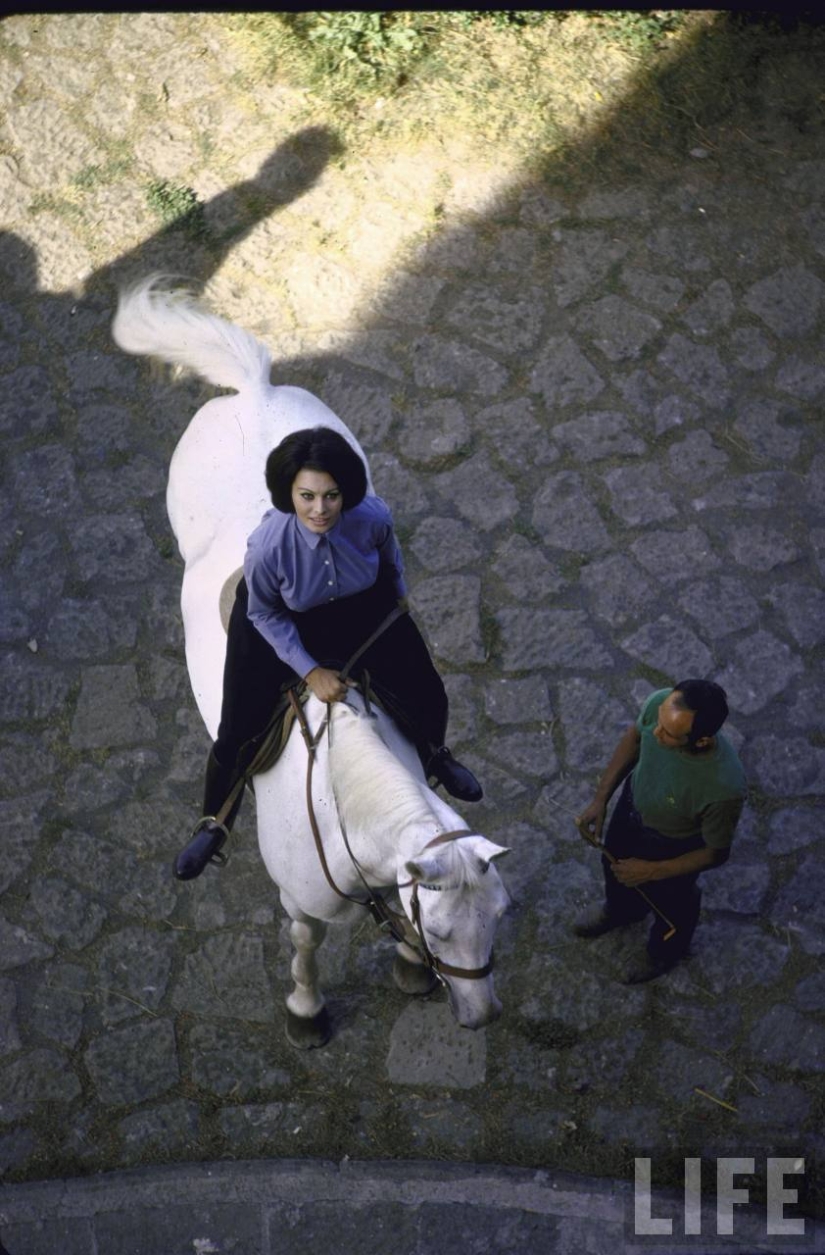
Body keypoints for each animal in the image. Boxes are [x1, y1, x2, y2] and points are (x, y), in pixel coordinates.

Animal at [109, 279, 507, 1044]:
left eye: (498, 918)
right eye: (444, 929)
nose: (478, 1018)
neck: (342, 798)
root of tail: (253, 390)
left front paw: (408, 971)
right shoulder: (300, 899)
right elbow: (305, 943)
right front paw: (306, 1010)